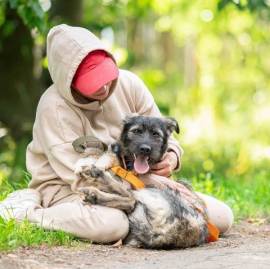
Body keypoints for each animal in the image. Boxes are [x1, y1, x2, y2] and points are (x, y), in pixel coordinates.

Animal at [72, 114, 211, 248]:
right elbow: (108, 156)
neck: (130, 166)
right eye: (137, 131)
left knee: (130, 198)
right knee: (129, 201)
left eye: (156, 134)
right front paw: (86, 164)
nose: (145, 149)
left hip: (151, 191)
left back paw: (97, 186)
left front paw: (91, 166)